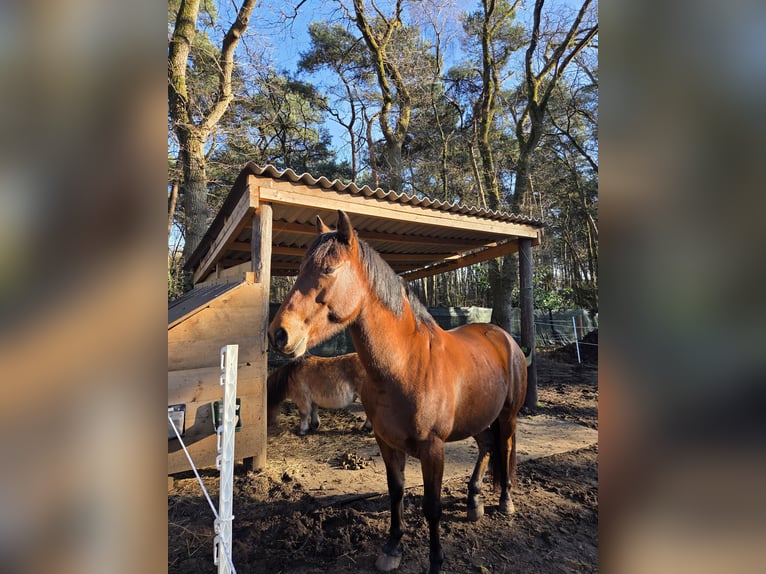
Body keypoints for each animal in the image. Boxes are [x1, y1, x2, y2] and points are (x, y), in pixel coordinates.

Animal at [268, 211, 528, 574]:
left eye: (329, 269)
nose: (279, 334)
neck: (406, 365)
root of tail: (504, 337)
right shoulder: (387, 443)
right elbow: (396, 493)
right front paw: (392, 548)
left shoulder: (433, 449)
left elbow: (432, 507)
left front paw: (436, 561)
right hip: (478, 417)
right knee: (487, 447)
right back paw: (474, 501)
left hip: (507, 417)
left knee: (504, 448)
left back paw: (505, 501)